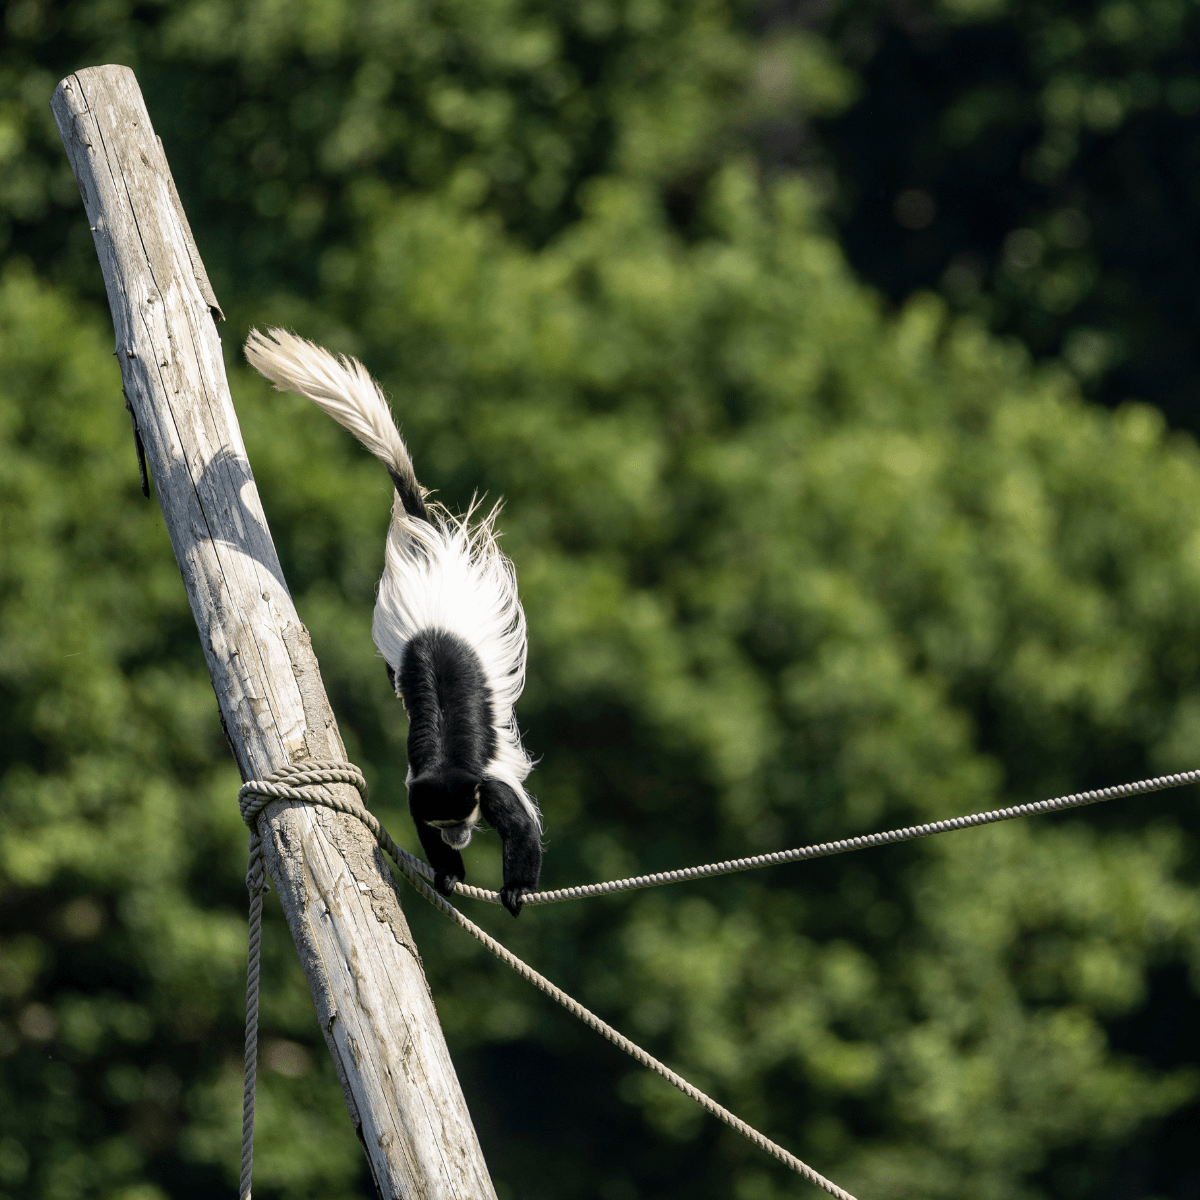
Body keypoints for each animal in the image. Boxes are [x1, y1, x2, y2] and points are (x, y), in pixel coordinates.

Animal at [244, 328, 542, 916]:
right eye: (445, 824)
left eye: (462, 818)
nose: (457, 837)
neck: (449, 759)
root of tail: (430, 560)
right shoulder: (421, 791)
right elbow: (417, 818)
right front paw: (447, 873)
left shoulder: (486, 786)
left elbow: (519, 824)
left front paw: (517, 887)